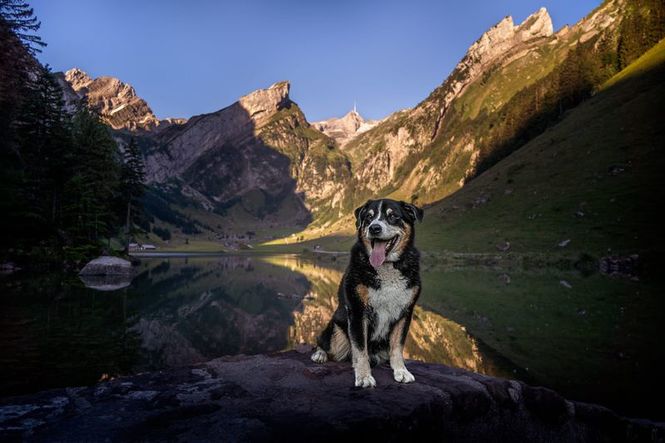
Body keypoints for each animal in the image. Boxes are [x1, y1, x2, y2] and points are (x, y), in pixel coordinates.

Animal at [310, 199, 422, 388]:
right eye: (368, 217)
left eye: (393, 216)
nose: (374, 228)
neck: (386, 267)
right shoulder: (357, 311)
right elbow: (360, 349)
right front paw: (363, 376)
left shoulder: (405, 313)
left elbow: (397, 347)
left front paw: (401, 371)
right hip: (337, 331)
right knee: (324, 343)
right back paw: (320, 354)